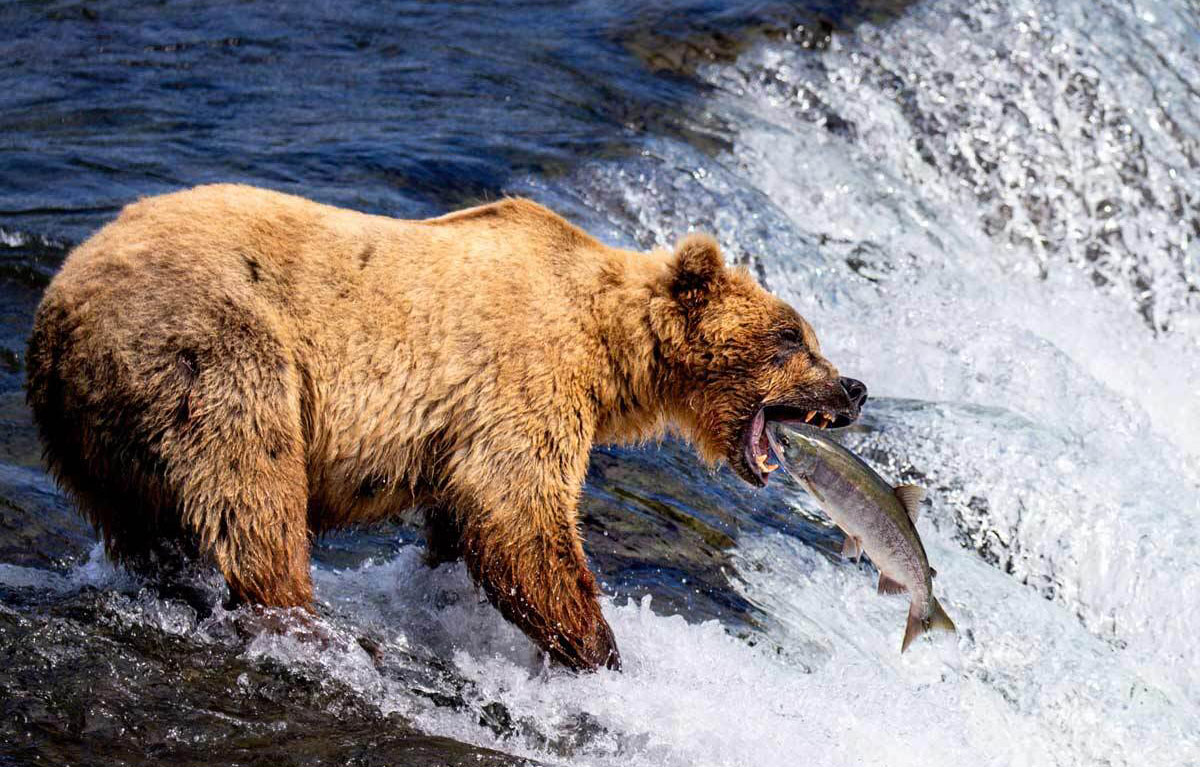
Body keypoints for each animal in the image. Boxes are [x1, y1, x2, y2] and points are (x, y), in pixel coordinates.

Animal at [25, 186, 864, 672]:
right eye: (792, 337)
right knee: (253, 487)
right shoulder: (523, 374)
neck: (609, 347)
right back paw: (304, 619)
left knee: (141, 519)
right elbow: (518, 511)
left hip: (92, 426)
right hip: (212, 345)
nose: (854, 388)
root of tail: (61, 303)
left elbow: (465, 518)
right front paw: (599, 647)